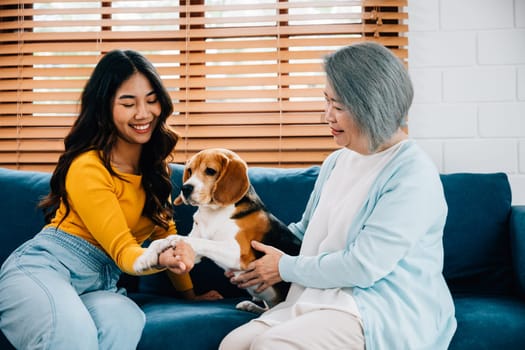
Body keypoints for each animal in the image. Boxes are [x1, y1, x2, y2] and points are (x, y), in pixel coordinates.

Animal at [133, 147, 298, 312]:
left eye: (210, 171)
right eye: (190, 170)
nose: (185, 188)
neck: (212, 213)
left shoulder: (238, 254)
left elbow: (196, 240)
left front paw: (175, 239)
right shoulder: (196, 255)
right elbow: (160, 241)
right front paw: (144, 259)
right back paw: (249, 306)